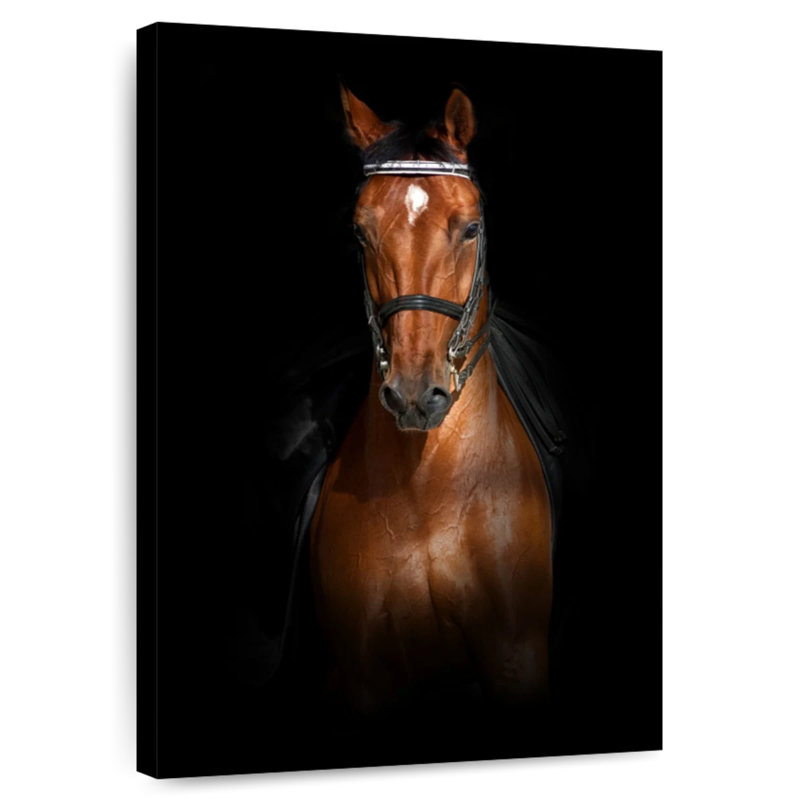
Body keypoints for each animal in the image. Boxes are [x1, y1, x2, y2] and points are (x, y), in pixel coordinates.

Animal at [308, 86, 555, 716]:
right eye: (360, 232)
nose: (416, 394)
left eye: (470, 229)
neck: (430, 497)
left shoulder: (517, 660)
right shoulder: (363, 679)